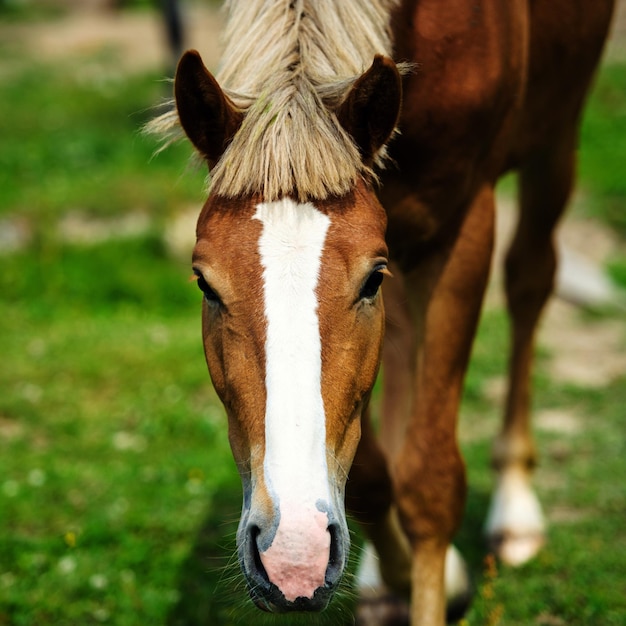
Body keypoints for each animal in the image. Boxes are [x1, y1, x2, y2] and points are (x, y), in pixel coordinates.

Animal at [150, 0, 608, 620]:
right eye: (205, 283)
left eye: (371, 280)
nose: (291, 556)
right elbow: (372, 469)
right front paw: (400, 574)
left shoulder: (464, 224)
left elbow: (430, 480)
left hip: (557, 133)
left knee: (529, 280)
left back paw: (515, 511)